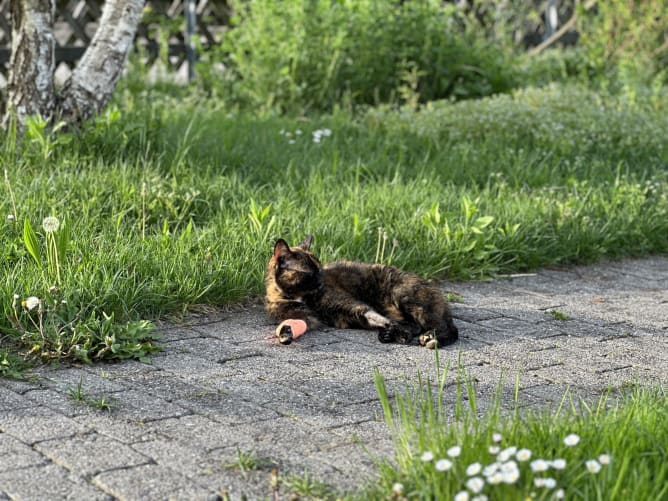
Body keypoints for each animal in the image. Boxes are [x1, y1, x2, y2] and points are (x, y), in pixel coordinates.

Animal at [264, 235, 456, 348]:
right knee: (416, 325)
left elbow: (379, 318)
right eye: (309, 273)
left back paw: (430, 339)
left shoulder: (352, 306)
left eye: (319, 269)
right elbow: (293, 323)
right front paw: (285, 334)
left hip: (405, 297)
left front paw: (399, 332)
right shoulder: (306, 317)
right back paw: (390, 335)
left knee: (448, 328)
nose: (321, 280)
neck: (299, 296)